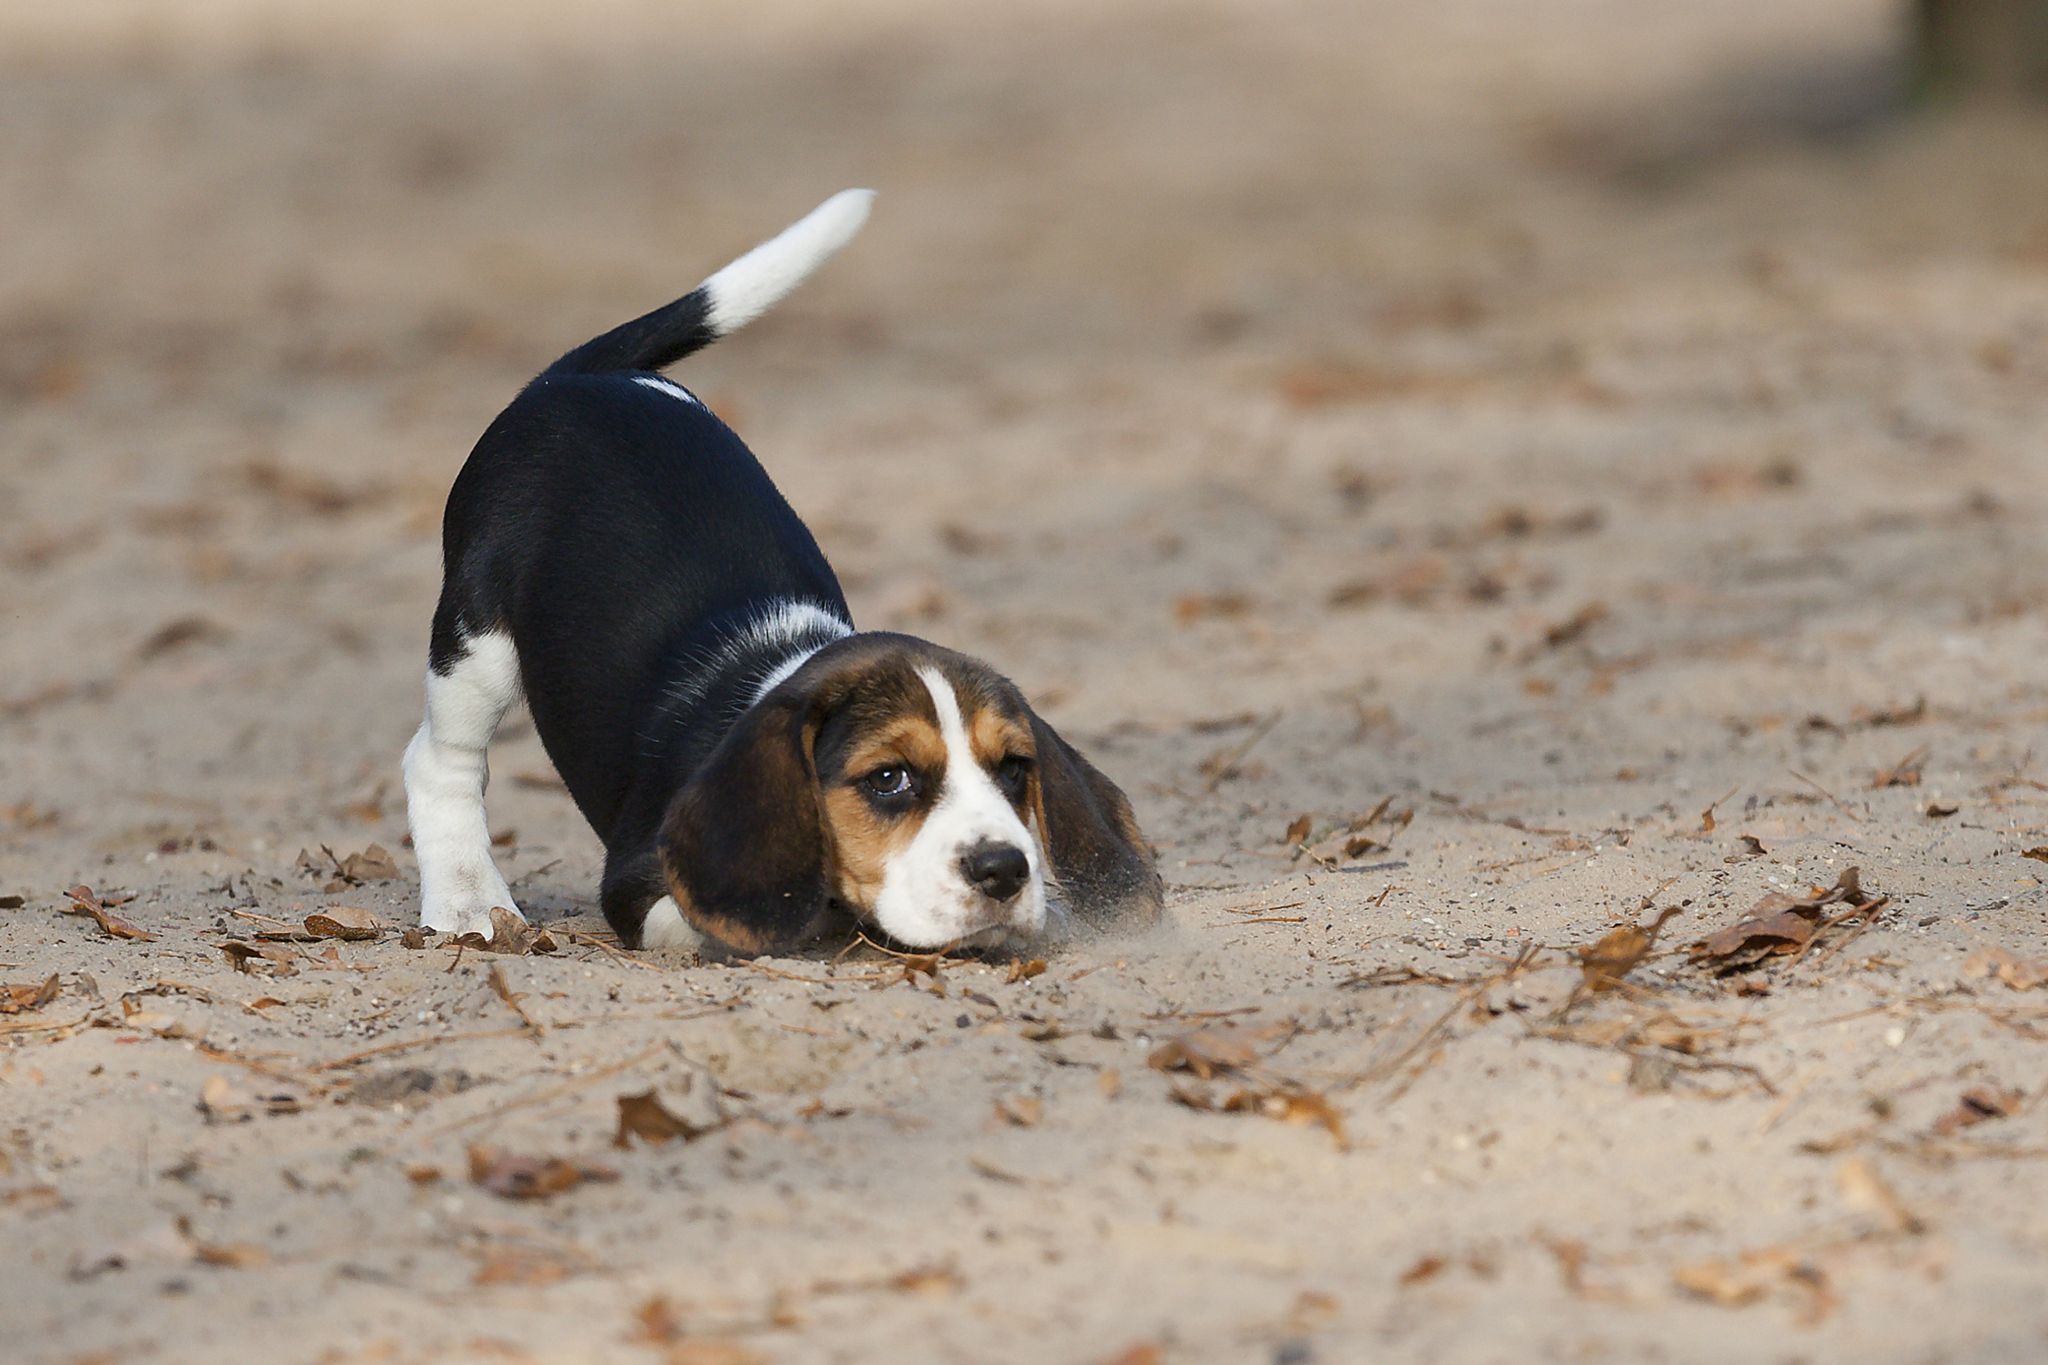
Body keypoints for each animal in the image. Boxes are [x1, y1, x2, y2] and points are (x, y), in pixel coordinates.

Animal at [403, 192, 1171, 957]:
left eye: (1014, 770)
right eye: (889, 778)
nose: (1004, 868)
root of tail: (575, 378)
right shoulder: (640, 881)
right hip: (477, 641)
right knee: (441, 759)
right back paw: (466, 898)